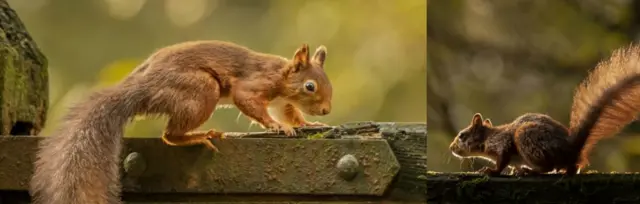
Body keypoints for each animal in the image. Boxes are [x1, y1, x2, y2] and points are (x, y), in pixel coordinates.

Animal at [29, 40, 332, 203]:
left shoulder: (283, 102)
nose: (326, 110)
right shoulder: (254, 84)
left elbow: (291, 113)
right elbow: (248, 101)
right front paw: (277, 126)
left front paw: (307, 125)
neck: (282, 76)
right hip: (201, 90)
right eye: (310, 86)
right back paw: (200, 135)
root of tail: (142, 88)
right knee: (169, 135)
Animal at [448, 43, 640, 176]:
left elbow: (503, 160)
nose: (451, 148)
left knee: (547, 167)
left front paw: (491, 171)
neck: (488, 136)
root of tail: (572, 149)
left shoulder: (502, 143)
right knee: (571, 168)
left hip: (527, 138)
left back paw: (529, 171)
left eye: (462, 135)